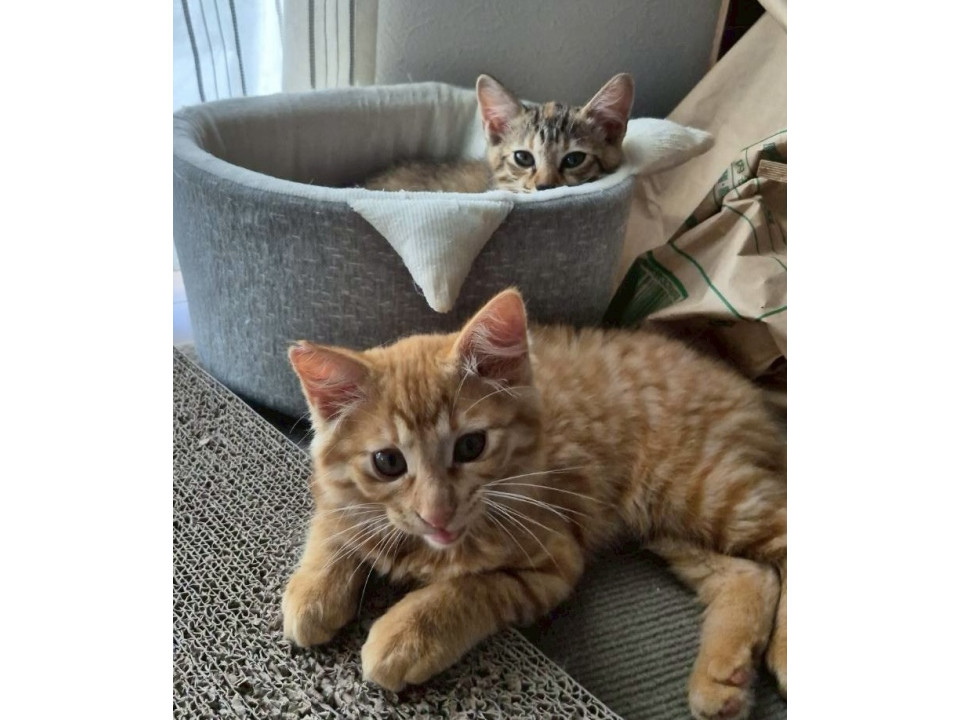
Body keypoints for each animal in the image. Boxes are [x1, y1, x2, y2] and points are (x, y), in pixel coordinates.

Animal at [282, 289, 787, 720]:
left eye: (471, 446)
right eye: (388, 462)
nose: (438, 514)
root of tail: (739, 381)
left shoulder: (551, 563)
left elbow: (466, 589)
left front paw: (405, 634)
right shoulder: (338, 496)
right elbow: (331, 528)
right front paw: (312, 592)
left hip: (701, 489)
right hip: (666, 519)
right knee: (752, 573)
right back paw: (722, 680)